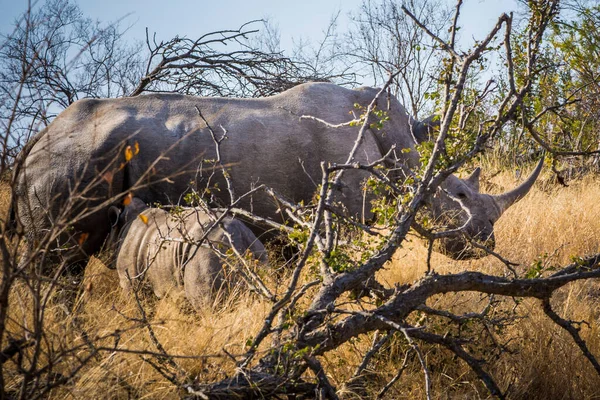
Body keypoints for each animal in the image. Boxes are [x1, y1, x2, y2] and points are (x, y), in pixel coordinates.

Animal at [14, 81, 540, 262]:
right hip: (71, 162)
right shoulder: (343, 215)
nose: (484, 244)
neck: (403, 146)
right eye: (460, 197)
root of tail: (36, 138)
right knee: (58, 263)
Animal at [109, 197, 268, 310]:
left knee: (207, 306)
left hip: (208, 251)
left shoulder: (130, 279)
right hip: (255, 246)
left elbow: (137, 305)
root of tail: (239, 236)